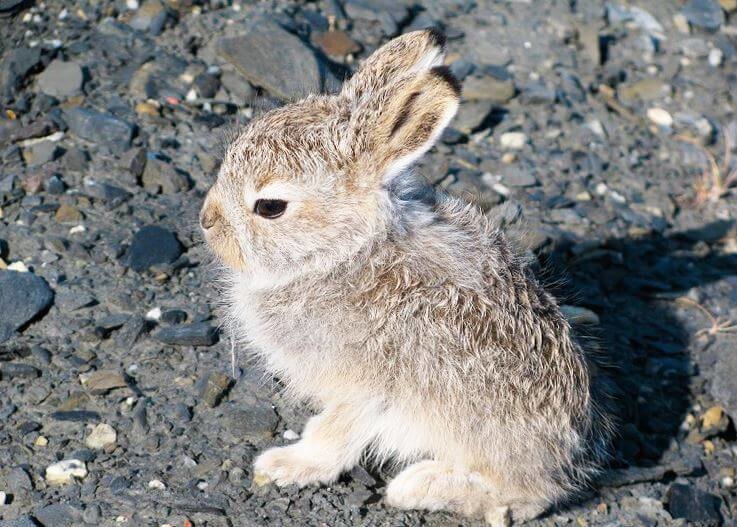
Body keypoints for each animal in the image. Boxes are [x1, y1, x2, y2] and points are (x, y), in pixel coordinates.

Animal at [200, 28, 610, 525]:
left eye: (270, 207)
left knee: (525, 496)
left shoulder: (364, 388)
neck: (343, 250)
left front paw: (286, 466)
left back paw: (419, 486)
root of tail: (565, 457)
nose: (206, 221)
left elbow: (336, 436)